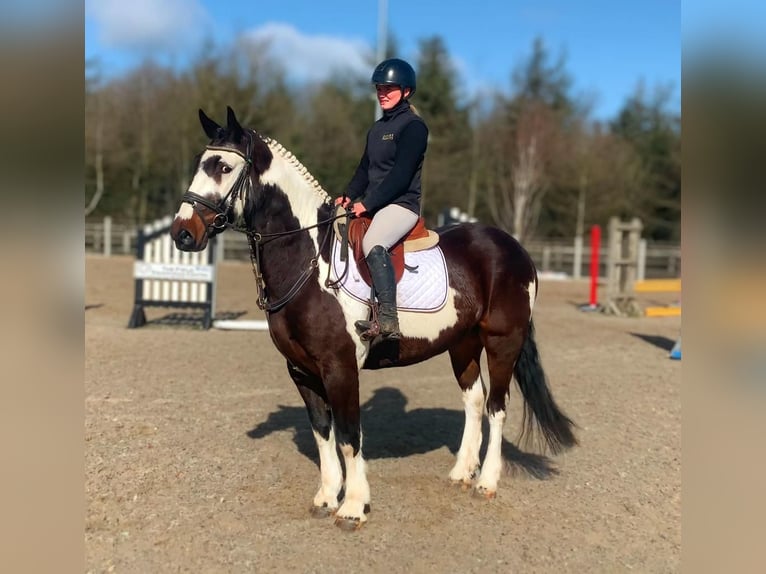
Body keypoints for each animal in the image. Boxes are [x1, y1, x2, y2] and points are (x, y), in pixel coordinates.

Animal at [170, 106, 577, 530]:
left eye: (224, 166)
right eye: (201, 163)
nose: (182, 234)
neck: (309, 260)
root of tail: (514, 247)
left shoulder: (340, 367)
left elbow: (349, 437)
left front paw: (353, 506)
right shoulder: (300, 370)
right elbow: (323, 434)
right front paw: (326, 497)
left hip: (502, 343)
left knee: (497, 406)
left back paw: (486, 482)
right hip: (462, 343)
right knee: (474, 400)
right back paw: (461, 473)